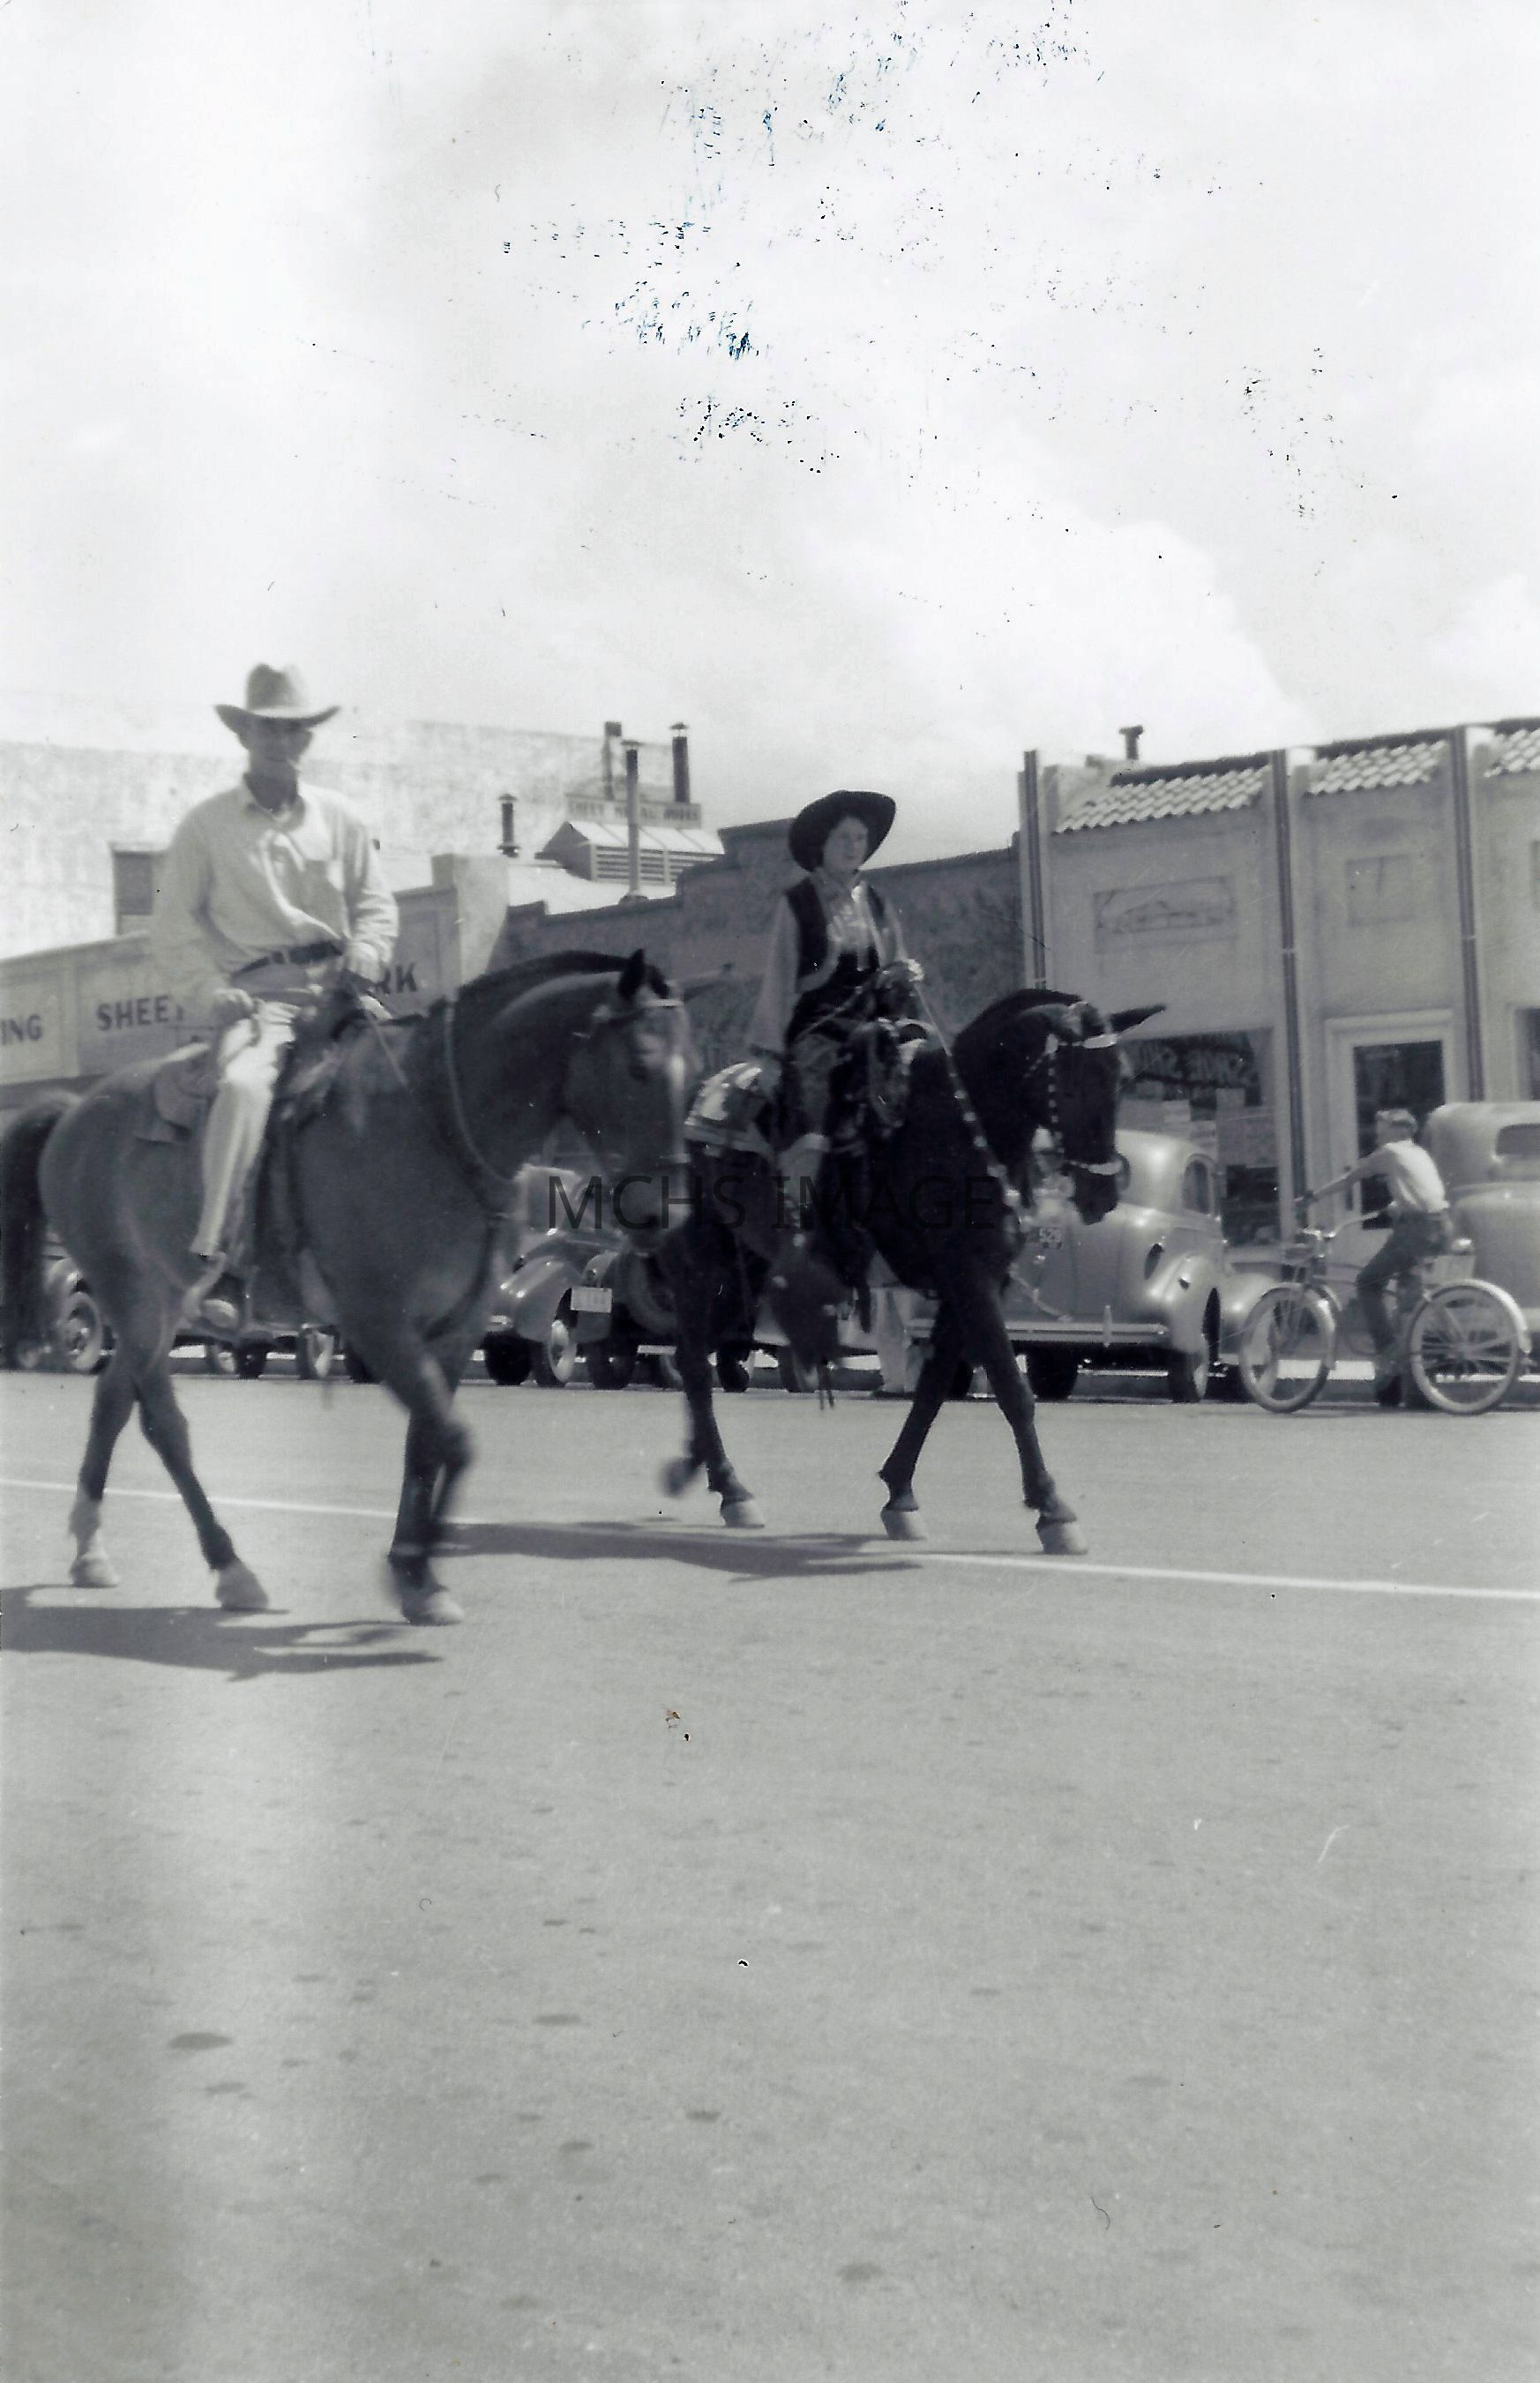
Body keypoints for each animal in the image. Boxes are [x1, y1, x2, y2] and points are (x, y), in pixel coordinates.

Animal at [0, 950, 695, 1625]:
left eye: (693, 1074)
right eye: (639, 1066)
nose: (669, 1216)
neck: (435, 1123)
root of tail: (72, 1113)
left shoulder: (457, 1327)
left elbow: (427, 1442)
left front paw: (418, 1575)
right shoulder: (379, 1321)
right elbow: (456, 1441)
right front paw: (416, 1565)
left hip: (157, 1302)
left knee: (112, 1403)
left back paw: (91, 1549)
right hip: (133, 1296)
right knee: (164, 1425)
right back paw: (229, 1566)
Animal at [656, 992, 1159, 1553]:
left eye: (1123, 1079)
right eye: (1069, 1084)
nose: (1102, 1194)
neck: (959, 1133)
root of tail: (707, 1095)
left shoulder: (974, 1283)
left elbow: (934, 1388)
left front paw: (900, 1495)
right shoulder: (969, 1279)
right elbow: (1013, 1389)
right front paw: (1053, 1509)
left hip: (752, 1264)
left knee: (697, 1346)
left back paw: (702, 1468)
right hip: (713, 1251)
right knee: (693, 1351)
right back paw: (729, 1485)